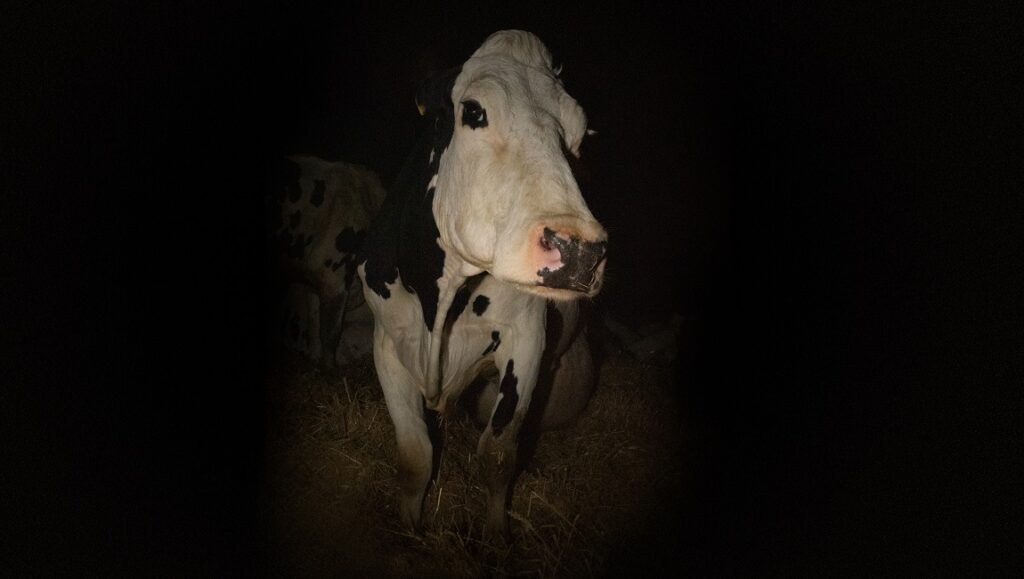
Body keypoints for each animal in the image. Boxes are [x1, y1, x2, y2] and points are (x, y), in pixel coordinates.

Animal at [269, 155, 385, 367]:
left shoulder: (313, 280)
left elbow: (314, 322)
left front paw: (315, 360)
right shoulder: (334, 273)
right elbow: (330, 333)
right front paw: (330, 368)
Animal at [357, 30, 608, 540]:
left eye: (578, 135)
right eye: (473, 111)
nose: (580, 251)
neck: (440, 302)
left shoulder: (526, 338)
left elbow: (496, 453)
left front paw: (495, 539)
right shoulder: (386, 341)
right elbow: (415, 456)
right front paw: (409, 531)